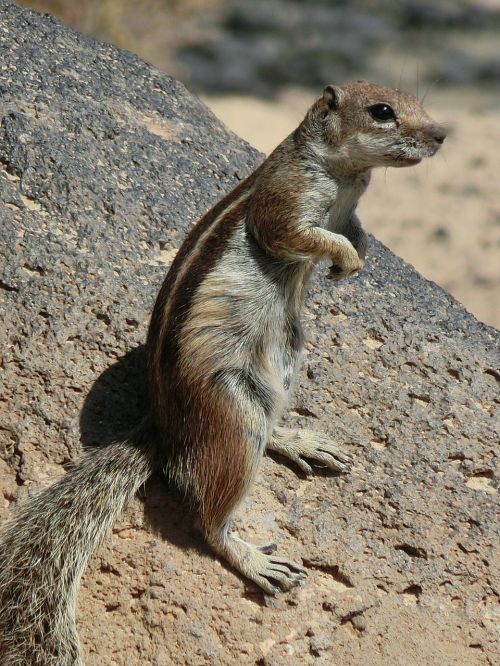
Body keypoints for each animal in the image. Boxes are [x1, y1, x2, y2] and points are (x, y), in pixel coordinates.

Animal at [0, 80, 446, 660]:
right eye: (383, 112)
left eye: (414, 101)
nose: (441, 135)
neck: (344, 173)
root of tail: (165, 424)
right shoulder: (285, 207)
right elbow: (306, 236)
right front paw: (344, 259)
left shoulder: (349, 213)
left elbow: (357, 234)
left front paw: (357, 259)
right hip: (230, 410)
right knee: (209, 520)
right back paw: (254, 559)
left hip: (286, 355)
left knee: (267, 423)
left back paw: (298, 441)